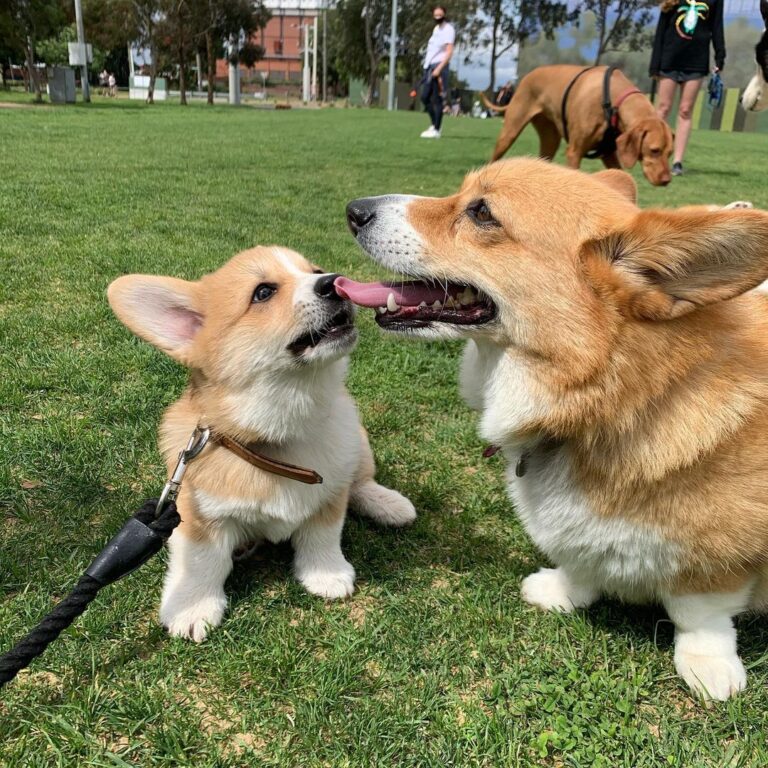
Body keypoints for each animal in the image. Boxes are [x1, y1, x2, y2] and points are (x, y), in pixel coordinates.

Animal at [108, 246, 414, 640]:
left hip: (357, 443)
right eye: (263, 293)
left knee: (360, 481)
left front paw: (327, 574)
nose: (335, 282)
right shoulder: (196, 512)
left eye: (315, 270)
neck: (283, 433)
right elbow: (202, 560)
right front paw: (192, 606)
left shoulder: (329, 494)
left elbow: (324, 533)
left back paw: (390, 504)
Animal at [338, 159, 768, 700]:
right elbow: (580, 562)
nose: (354, 210)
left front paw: (709, 667)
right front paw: (559, 592)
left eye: (482, 212)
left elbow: (700, 613)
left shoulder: (723, 556)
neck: (612, 398)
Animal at [480, 65, 672, 187]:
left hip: (550, 139)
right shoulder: (575, 152)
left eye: (669, 153)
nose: (666, 180)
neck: (612, 99)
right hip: (510, 132)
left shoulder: (609, 155)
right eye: (654, 150)